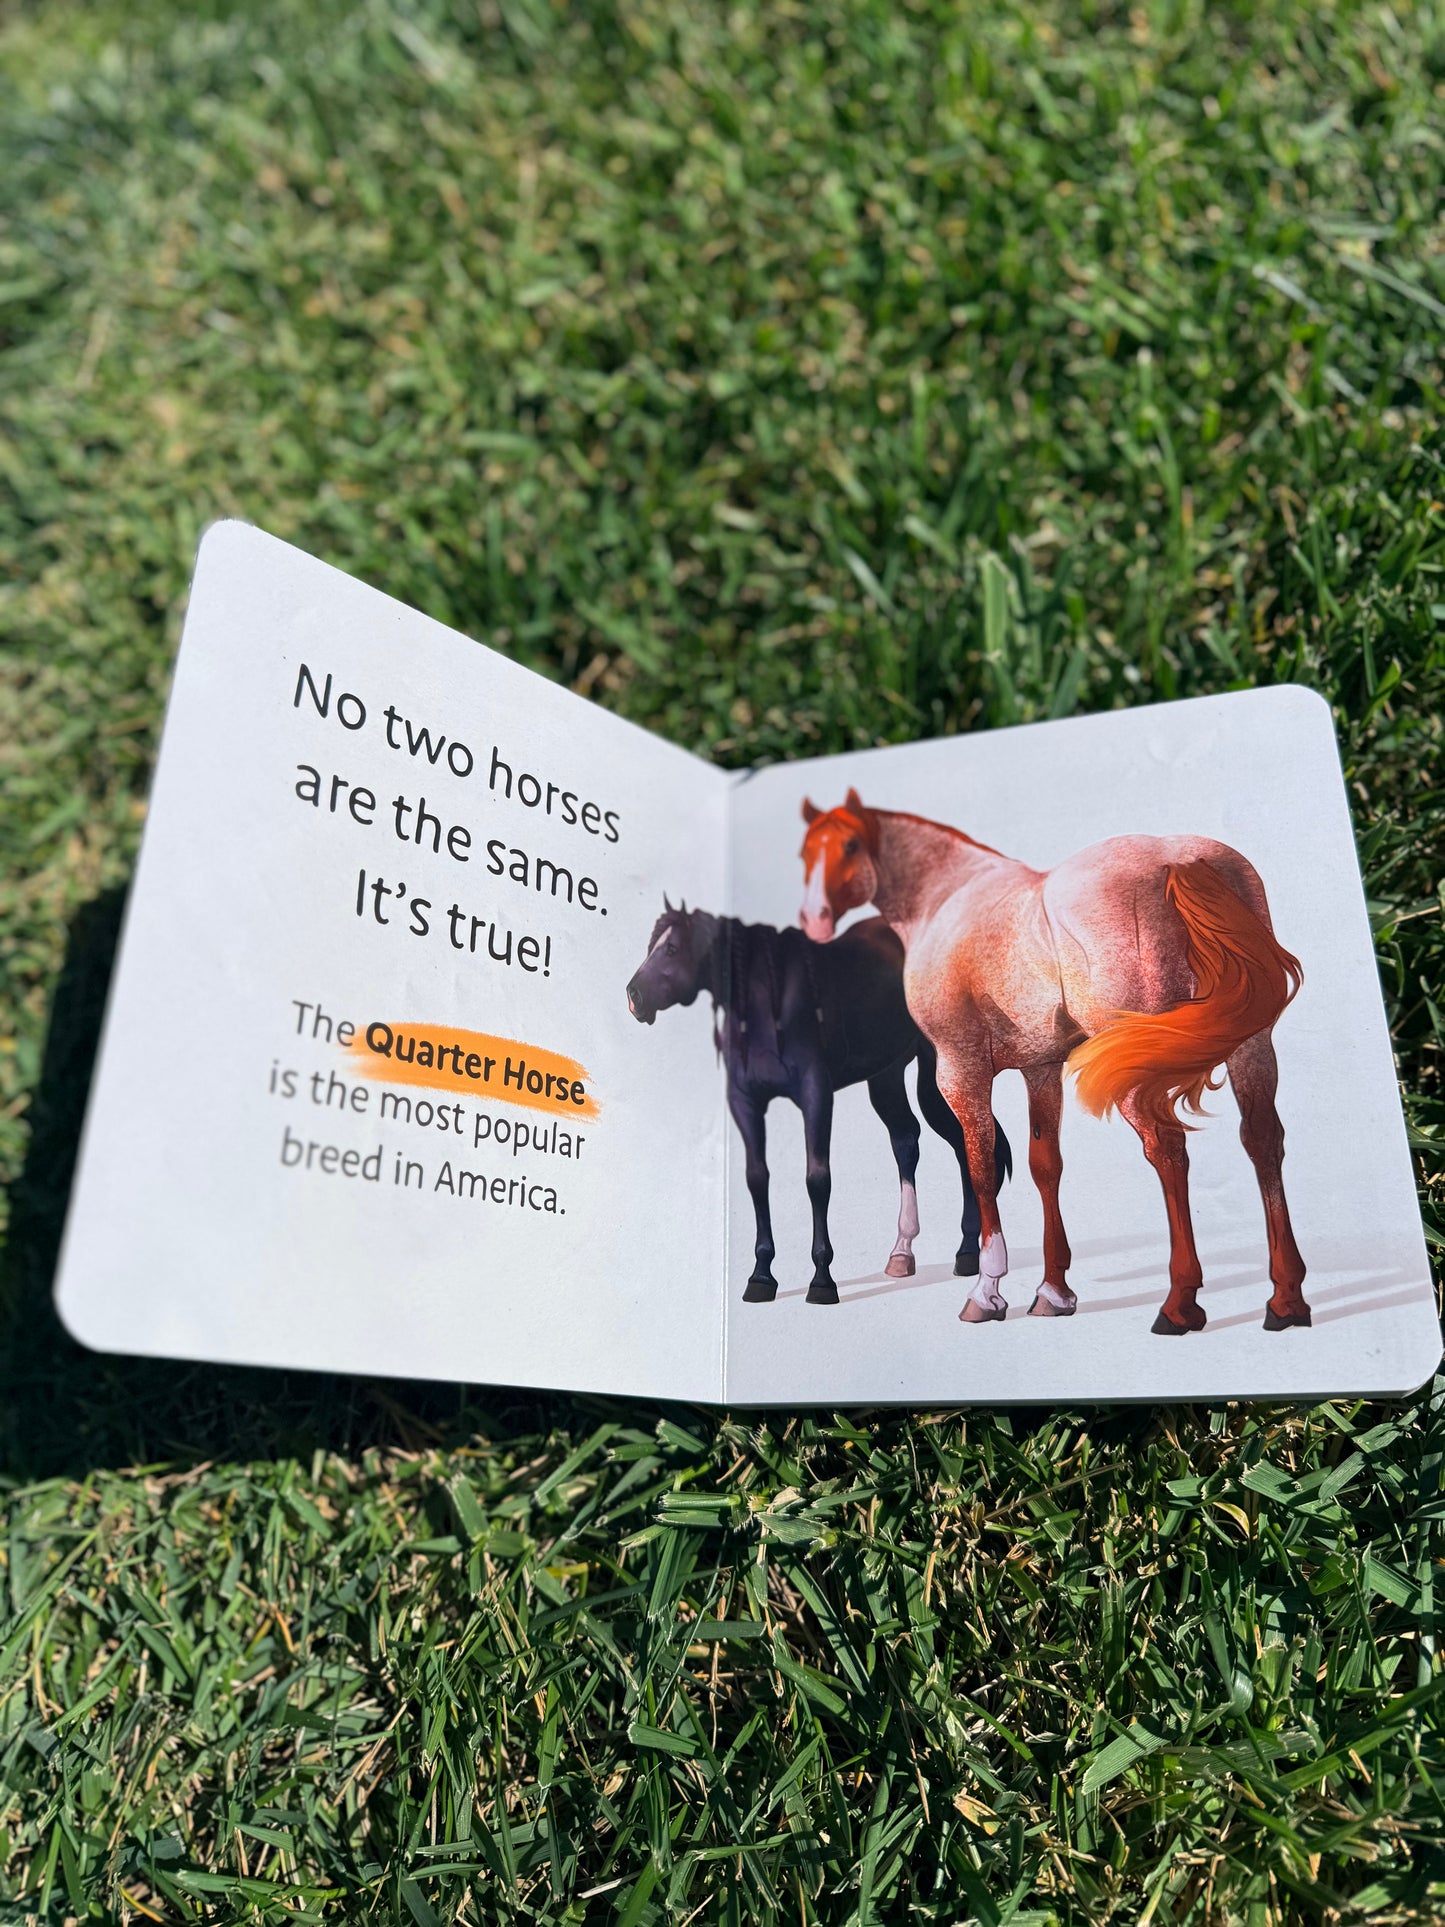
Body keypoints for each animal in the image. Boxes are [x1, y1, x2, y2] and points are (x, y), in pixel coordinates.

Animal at [626, 900, 1011, 1305]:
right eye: (651, 944)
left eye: (671, 949)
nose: (633, 997)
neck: (770, 1006)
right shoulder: (746, 1103)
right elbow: (756, 1178)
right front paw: (761, 1276)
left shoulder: (816, 1095)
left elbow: (817, 1179)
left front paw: (822, 1280)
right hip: (886, 1076)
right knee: (906, 1140)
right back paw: (902, 1253)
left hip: (942, 1073)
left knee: (964, 1142)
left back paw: (967, 1253)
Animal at [797, 789, 1307, 1336]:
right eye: (806, 853)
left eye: (850, 845)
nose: (814, 919)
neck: (945, 895)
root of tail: (1179, 862)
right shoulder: (1040, 1070)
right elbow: (1045, 1166)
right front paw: (1054, 1292)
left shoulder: (960, 1069)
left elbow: (980, 1167)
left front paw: (987, 1290)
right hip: (1250, 1047)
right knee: (1262, 1139)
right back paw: (1286, 1300)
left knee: (1168, 1149)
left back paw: (1179, 1304)